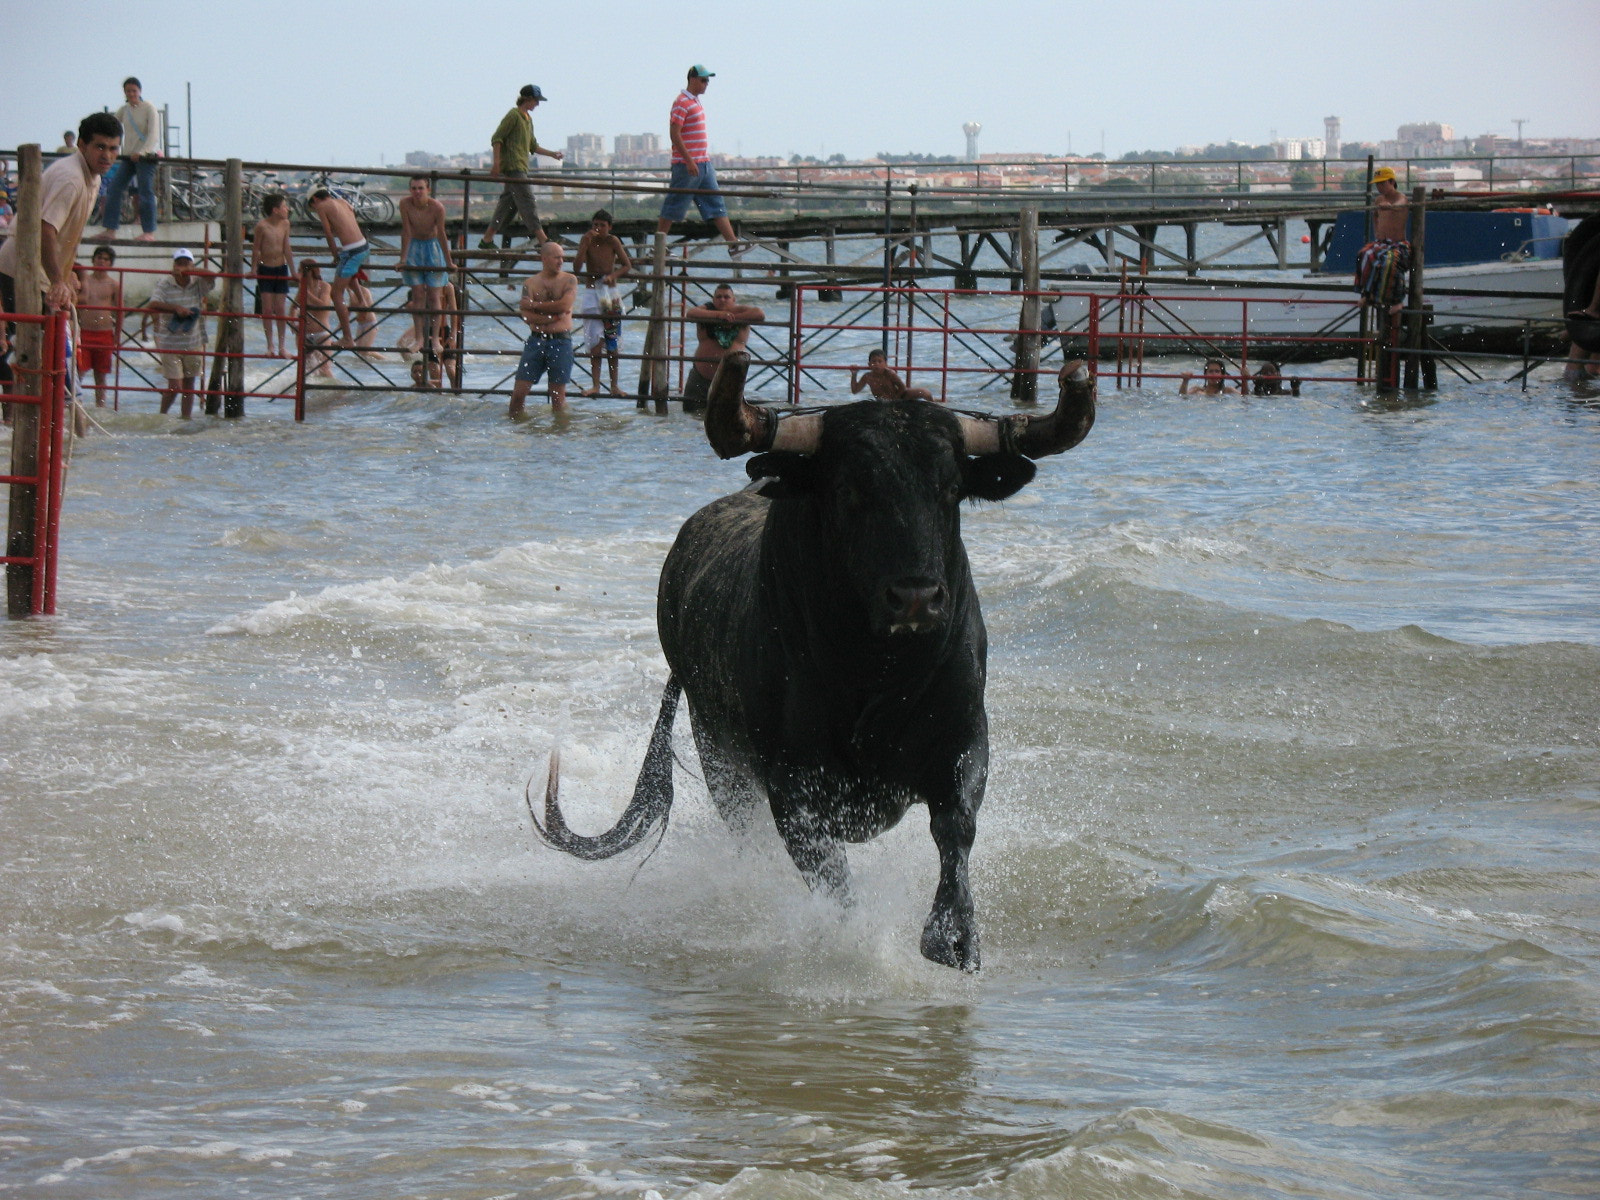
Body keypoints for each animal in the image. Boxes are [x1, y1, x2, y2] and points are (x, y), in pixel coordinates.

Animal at [531, 352, 1094, 972]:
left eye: (949, 489)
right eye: (850, 489)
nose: (916, 597)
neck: (876, 671)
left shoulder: (964, 737)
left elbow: (957, 827)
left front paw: (953, 936)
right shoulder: (792, 789)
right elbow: (832, 880)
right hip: (720, 759)